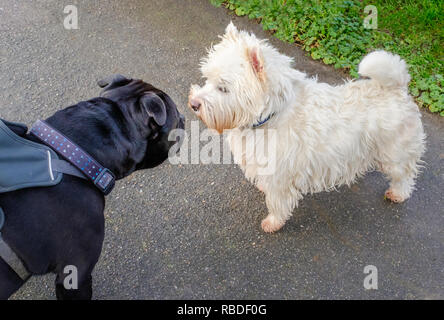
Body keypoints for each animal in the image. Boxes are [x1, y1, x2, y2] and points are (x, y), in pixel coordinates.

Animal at [189, 22, 424, 232]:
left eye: (223, 88)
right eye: (207, 79)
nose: (193, 104)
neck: (271, 114)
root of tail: (398, 88)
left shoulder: (281, 176)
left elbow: (276, 202)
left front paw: (273, 223)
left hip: (394, 155)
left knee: (405, 175)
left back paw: (398, 194)